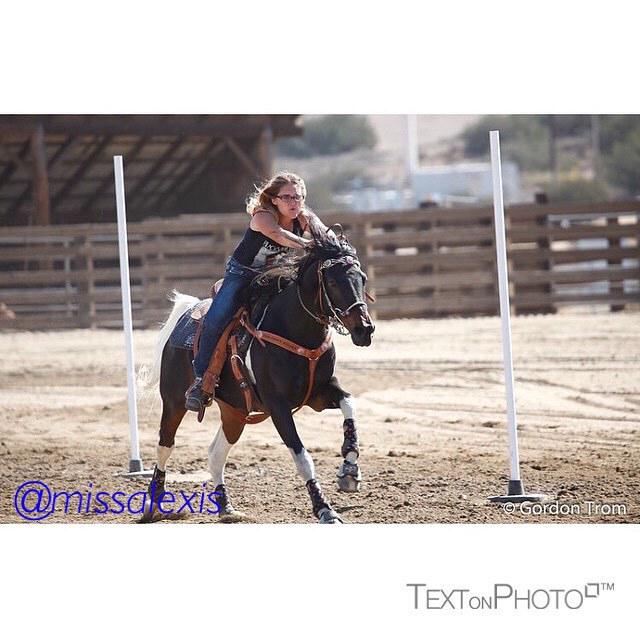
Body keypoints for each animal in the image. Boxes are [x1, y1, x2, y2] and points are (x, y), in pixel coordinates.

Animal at [140, 220, 375, 523]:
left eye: (362, 278)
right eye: (333, 282)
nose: (364, 329)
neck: (293, 329)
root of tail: (184, 315)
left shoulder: (319, 394)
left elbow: (349, 404)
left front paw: (349, 470)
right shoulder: (278, 406)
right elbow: (302, 457)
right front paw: (324, 509)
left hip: (235, 412)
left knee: (216, 453)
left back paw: (226, 507)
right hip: (173, 402)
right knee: (165, 445)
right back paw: (153, 502)